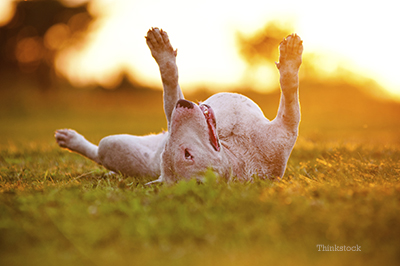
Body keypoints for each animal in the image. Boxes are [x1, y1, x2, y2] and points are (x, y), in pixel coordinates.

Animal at [54, 28, 304, 184]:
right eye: (187, 154)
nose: (182, 105)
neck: (233, 149)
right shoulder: (284, 131)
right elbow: (289, 89)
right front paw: (291, 60)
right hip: (113, 145)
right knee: (97, 152)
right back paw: (73, 141)